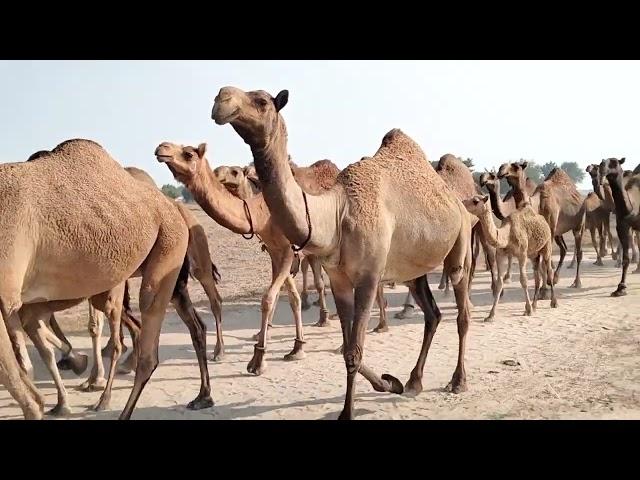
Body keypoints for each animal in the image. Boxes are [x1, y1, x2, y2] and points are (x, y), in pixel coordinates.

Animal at [210, 87, 470, 420]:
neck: (337, 211)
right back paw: (414, 381)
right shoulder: (339, 279)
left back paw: (458, 381)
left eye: (262, 101)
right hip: (414, 270)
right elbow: (348, 349)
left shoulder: (369, 277)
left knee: (462, 312)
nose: (221, 99)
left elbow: (355, 350)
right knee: (433, 314)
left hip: (461, 244)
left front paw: (349, 411)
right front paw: (389, 382)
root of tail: (457, 200)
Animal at [500, 161, 584, 290]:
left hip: (578, 225)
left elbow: (545, 259)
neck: (537, 204)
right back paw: (555, 279)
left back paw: (577, 282)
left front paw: (544, 289)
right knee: (563, 249)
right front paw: (544, 285)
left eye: (516, 167)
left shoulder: (550, 228)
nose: (501, 170)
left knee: (579, 252)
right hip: (558, 232)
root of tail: (580, 196)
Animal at [600, 158, 640, 296]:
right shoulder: (622, 227)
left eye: (615, 162)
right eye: (602, 162)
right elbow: (625, 259)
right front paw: (620, 288)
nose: (602, 168)